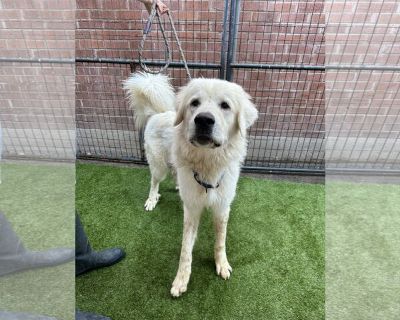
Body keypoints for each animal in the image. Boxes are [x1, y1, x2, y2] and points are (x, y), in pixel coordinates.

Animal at [123, 72, 258, 298]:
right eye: (195, 103)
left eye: (225, 105)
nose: (204, 119)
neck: (207, 162)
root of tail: (159, 113)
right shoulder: (192, 210)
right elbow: (186, 248)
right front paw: (181, 279)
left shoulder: (222, 208)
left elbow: (220, 241)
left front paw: (222, 264)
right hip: (159, 166)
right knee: (154, 182)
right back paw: (152, 199)